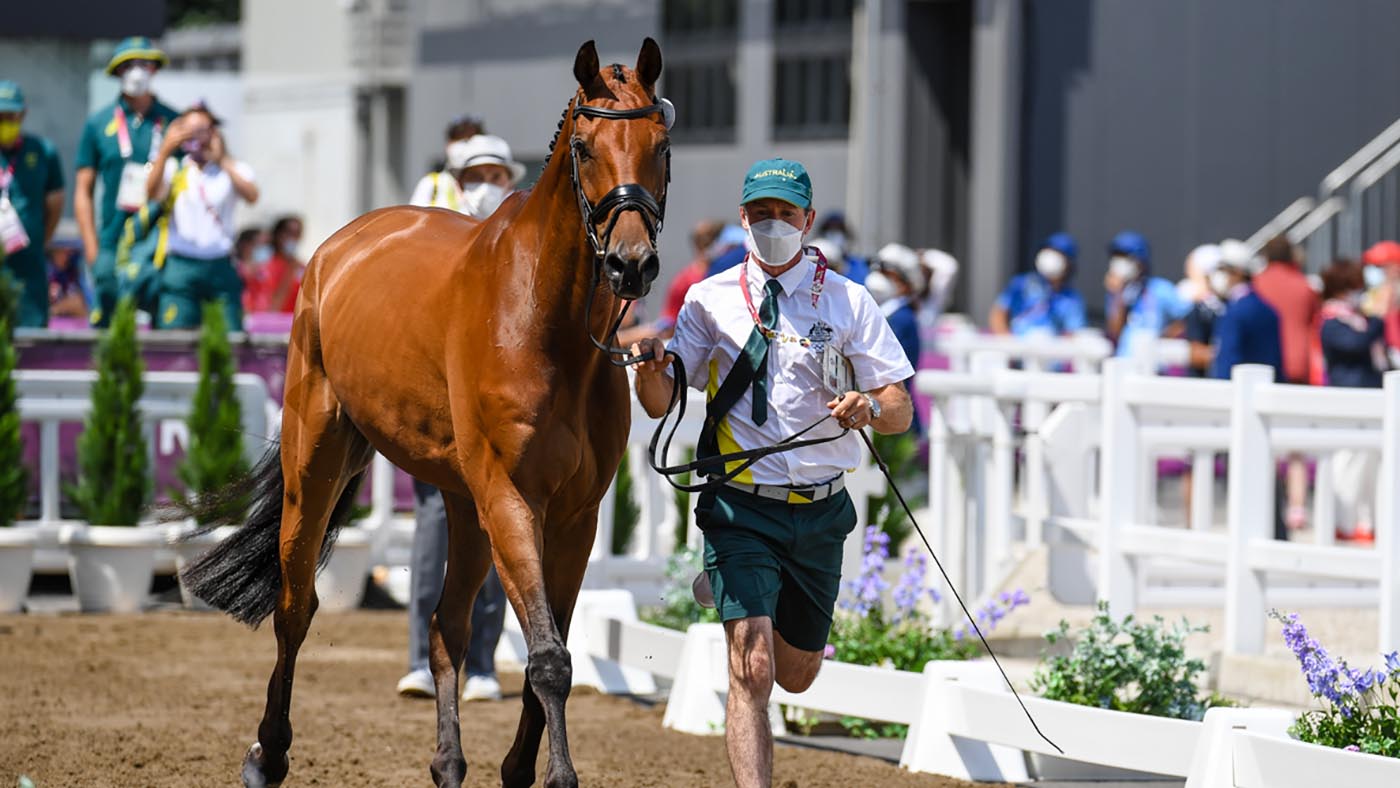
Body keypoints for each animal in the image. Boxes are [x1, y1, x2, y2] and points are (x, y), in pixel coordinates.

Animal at [180, 38, 670, 788]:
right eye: (585, 149)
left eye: (661, 144)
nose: (631, 264)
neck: (547, 322)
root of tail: (341, 245)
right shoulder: (513, 499)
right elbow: (549, 659)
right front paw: (556, 775)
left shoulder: (574, 517)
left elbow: (548, 646)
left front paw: (519, 768)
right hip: (318, 459)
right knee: (296, 607)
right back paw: (268, 754)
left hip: (463, 503)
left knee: (447, 625)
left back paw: (448, 762)